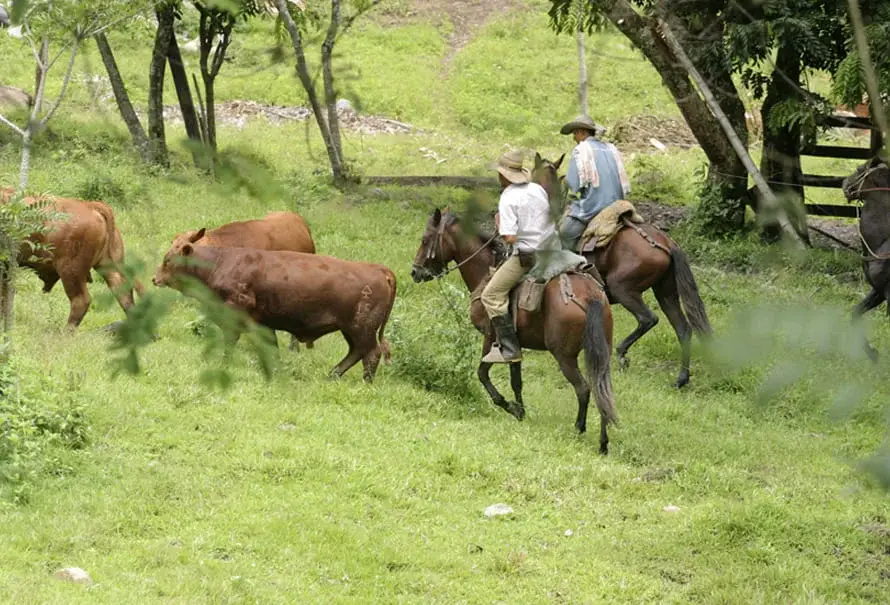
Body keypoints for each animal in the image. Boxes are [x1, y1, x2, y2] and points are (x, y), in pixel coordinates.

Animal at [153, 241, 396, 382]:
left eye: (168, 260)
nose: (155, 278)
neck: (219, 262)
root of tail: (378, 269)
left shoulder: (234, 313)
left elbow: (231, 341)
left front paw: (224, 363)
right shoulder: (263, 323)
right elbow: (271, 346)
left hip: (361, 328)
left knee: (370, 352)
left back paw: (364, 381)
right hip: (351, 330)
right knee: (356, 351)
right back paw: (332, 375)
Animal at [410, 208, 616, 452]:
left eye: (425, 239)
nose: (415, 272)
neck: (486, 271)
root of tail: (590, 295)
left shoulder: (491, 337)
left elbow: (482, 374)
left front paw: (511, 407)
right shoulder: (514, 346)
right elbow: (516, 381)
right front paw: (521, 410)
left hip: (564, 356)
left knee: (584, 389)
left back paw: (579, 429)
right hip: (600, 353)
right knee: (601, 389)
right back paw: (603, 443)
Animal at [532, 152, 712, 386]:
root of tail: (666, 241)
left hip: (623, 289)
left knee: (648, 319)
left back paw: (622, 354)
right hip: (666, 292)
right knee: (683, 329)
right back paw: (681, 378)